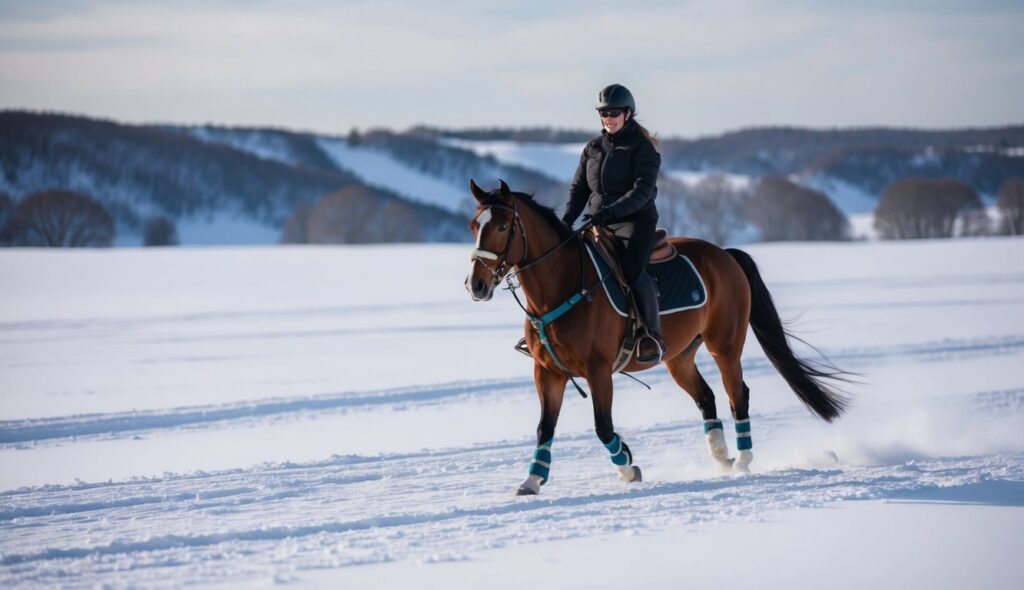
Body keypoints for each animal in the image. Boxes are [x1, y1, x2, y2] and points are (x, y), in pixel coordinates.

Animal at [466, 178, 847, 493]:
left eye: (502, 225)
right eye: (474, 226)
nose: (476, 285)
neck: (563, 286)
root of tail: (725, 254)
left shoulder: (598, 370)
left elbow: (603, 427)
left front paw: (627, 467)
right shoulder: (548, 372)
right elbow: (545, 427)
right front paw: (531, 480)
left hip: (724, 346)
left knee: (737, 395)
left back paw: (742, 460)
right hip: (679, 356)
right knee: (706, 397)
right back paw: (721, 456)